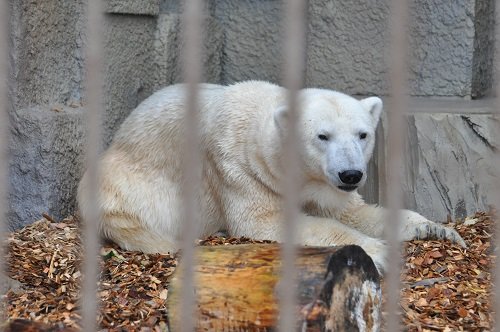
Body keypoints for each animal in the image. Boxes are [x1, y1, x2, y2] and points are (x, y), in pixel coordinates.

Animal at [77, 81, 464, 272]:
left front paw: (438, 229)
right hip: (129, 183)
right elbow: (261, 220)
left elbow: (354, 211)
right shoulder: (238, 168)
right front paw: (376, 251)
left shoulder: (326, 188)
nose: (351, 173)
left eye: (362, 134)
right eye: (322, 136)